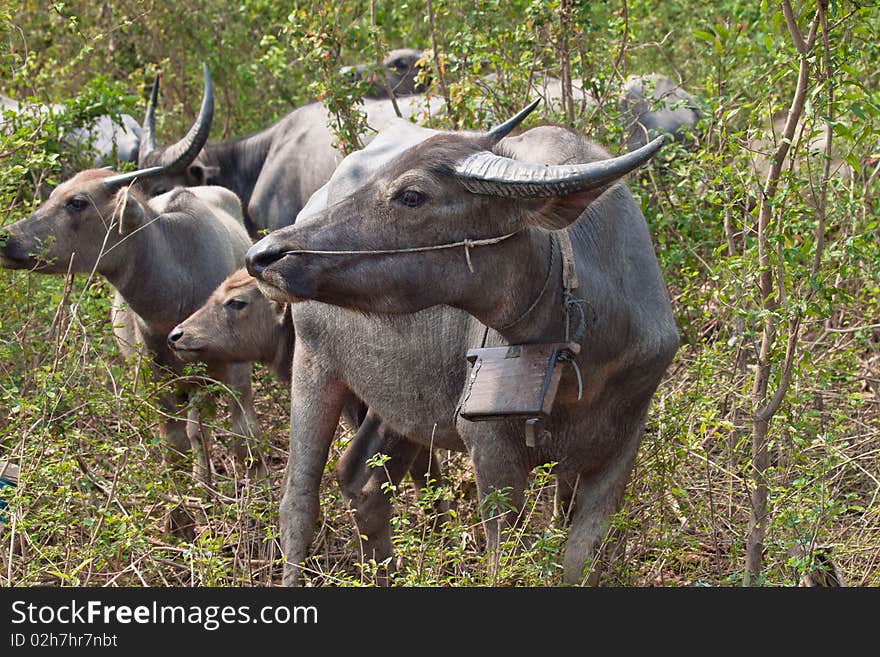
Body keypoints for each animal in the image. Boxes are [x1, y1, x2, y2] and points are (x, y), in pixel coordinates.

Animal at [1, 168, 266, 486]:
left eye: (77, 202)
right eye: (53, 195)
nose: (6, 237)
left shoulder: (238, 372)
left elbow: (245, 437)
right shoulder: (156, 376)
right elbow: (174, 444)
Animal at [246, 105, 680, 588]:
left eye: (412, 196)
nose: (264, 255)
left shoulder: (619, 446)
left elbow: (579, 558)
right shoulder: (489, 447)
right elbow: (508, 559)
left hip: (400, 398)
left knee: (362, 480)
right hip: (313, 364)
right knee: (298, 498)